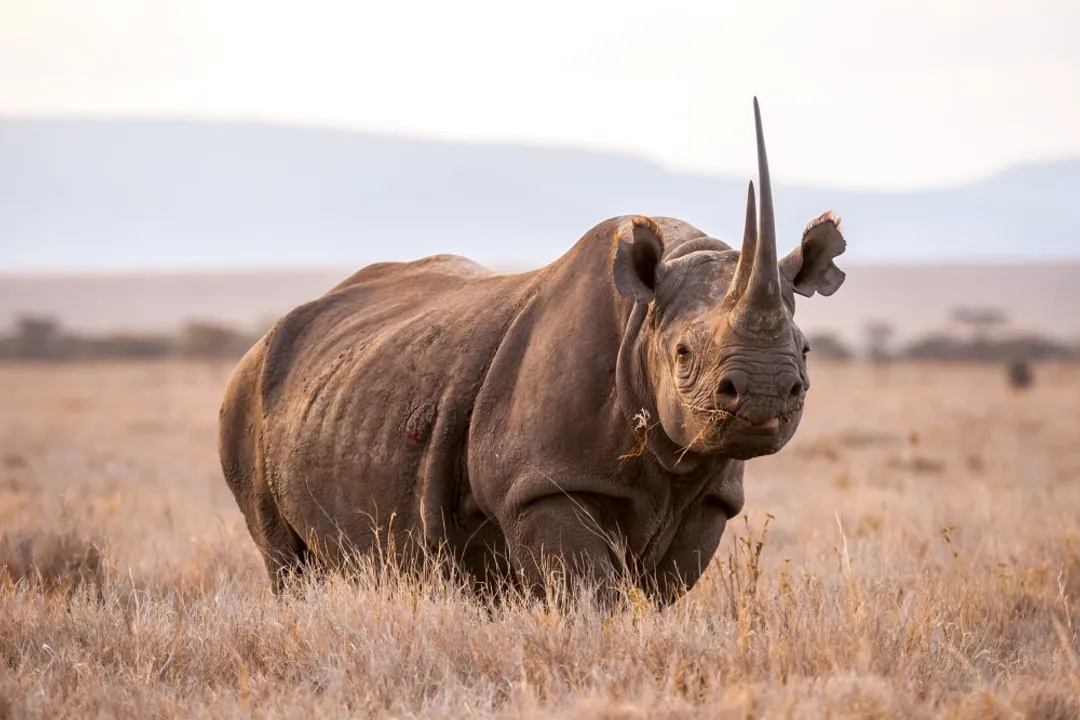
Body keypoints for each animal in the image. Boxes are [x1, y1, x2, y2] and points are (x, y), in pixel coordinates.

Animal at [218, 98, 849, 607]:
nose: (764, 394)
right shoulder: (545, 481)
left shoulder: (711, 495)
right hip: (246, 393)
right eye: (684, 354)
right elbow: (592, 593)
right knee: (284, 559)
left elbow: (660, 591)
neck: (644, 318)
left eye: (805, 351)